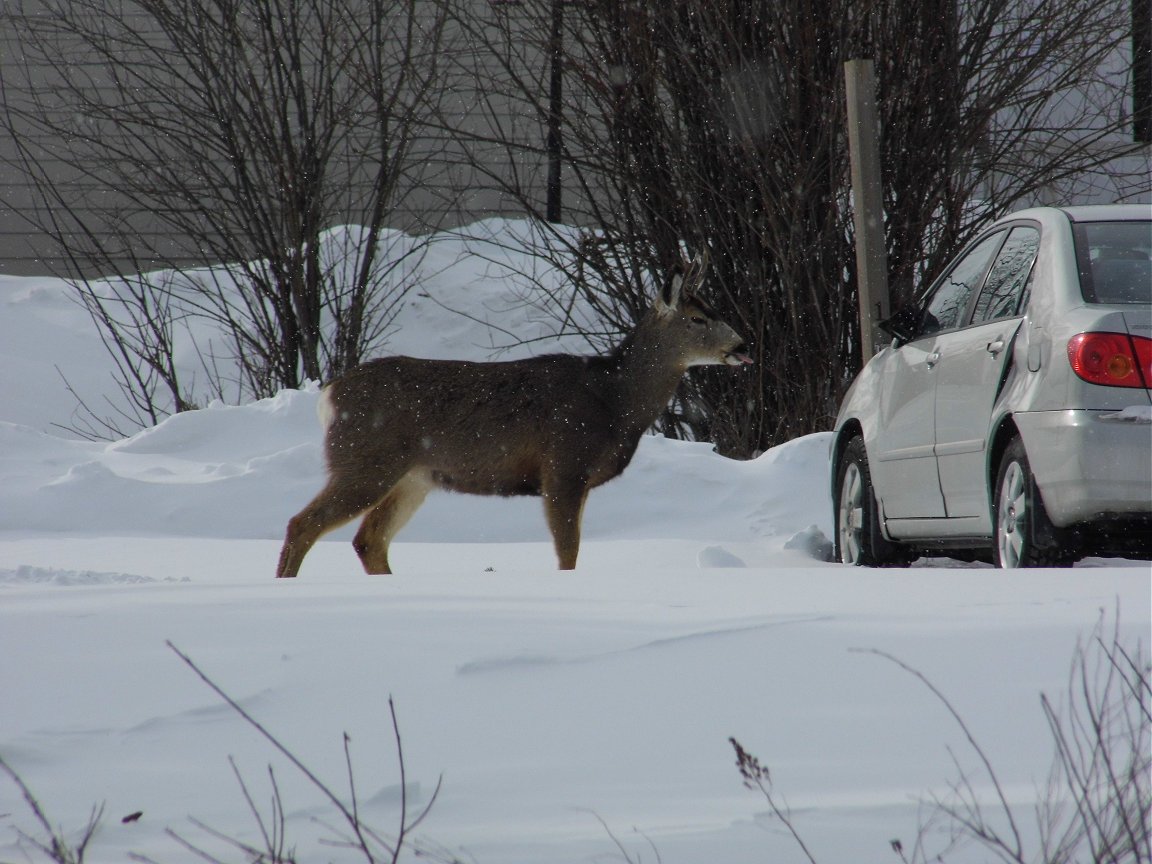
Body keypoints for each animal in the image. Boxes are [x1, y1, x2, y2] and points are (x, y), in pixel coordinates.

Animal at [274, 252, 751, 582]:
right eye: (697, 318)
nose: (743, 345)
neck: (614, 401)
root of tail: (329, 396)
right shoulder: (564, 465)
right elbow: (568, 554)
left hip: (413, 477)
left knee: (368, 540)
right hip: (365, 460)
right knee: (303, 523)